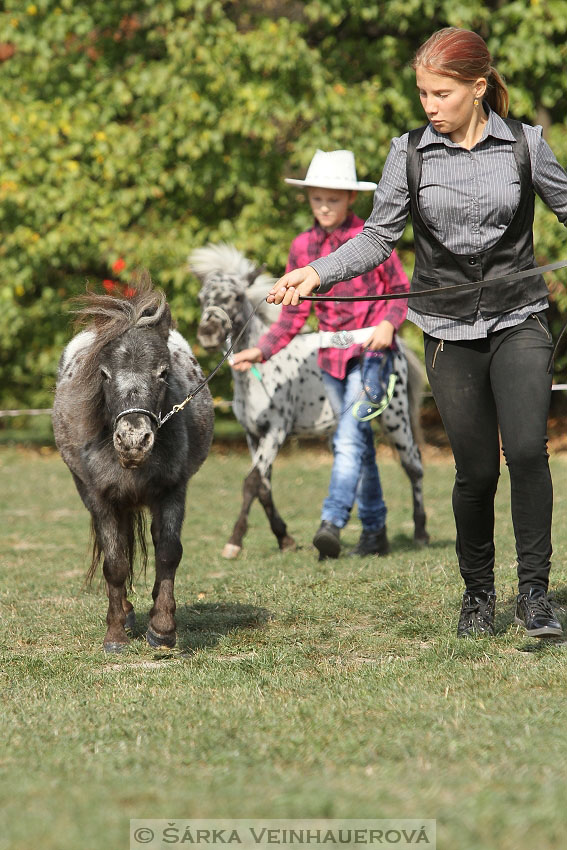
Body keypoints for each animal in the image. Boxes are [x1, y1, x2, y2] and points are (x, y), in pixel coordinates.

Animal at [52, 274, 215, 652]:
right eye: (103, 374)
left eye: (163, 372)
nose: (133, 441)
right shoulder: (100, 497)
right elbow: (114, 563)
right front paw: (115, 635)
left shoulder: (172, 491)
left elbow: (168, 551)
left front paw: (163, 629)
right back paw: (125, 614)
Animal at [191, 242, 430, 556]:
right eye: (201, 298)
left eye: (237, 296)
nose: (208, 334)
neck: (261, 374)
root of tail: (394, 344)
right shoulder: (253, 434)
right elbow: (263, 486)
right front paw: (285, 539)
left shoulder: (276, 431)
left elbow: (251, 482)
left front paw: (234, 541)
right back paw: (373, 540)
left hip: (395, 419)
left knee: (413, 467)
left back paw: (420, 532)